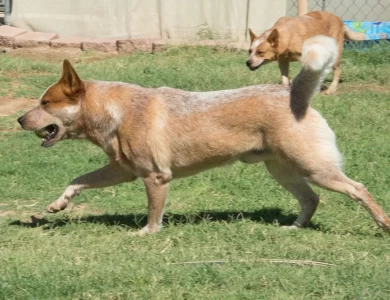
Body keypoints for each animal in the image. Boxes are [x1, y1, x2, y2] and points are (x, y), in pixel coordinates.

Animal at [16, 36, 388, 236]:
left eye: (45, 102)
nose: (19, 119)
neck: (114, 111)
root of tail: (294, 93)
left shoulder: (155, 177)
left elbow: (153, 213)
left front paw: (147, 234)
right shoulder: (121, 171)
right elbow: (76, 180)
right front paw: (58, 204)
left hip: (314, 167)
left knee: (358, 188)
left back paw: (383, 224)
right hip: (282, 170)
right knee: (311, 199)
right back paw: (295, 228)